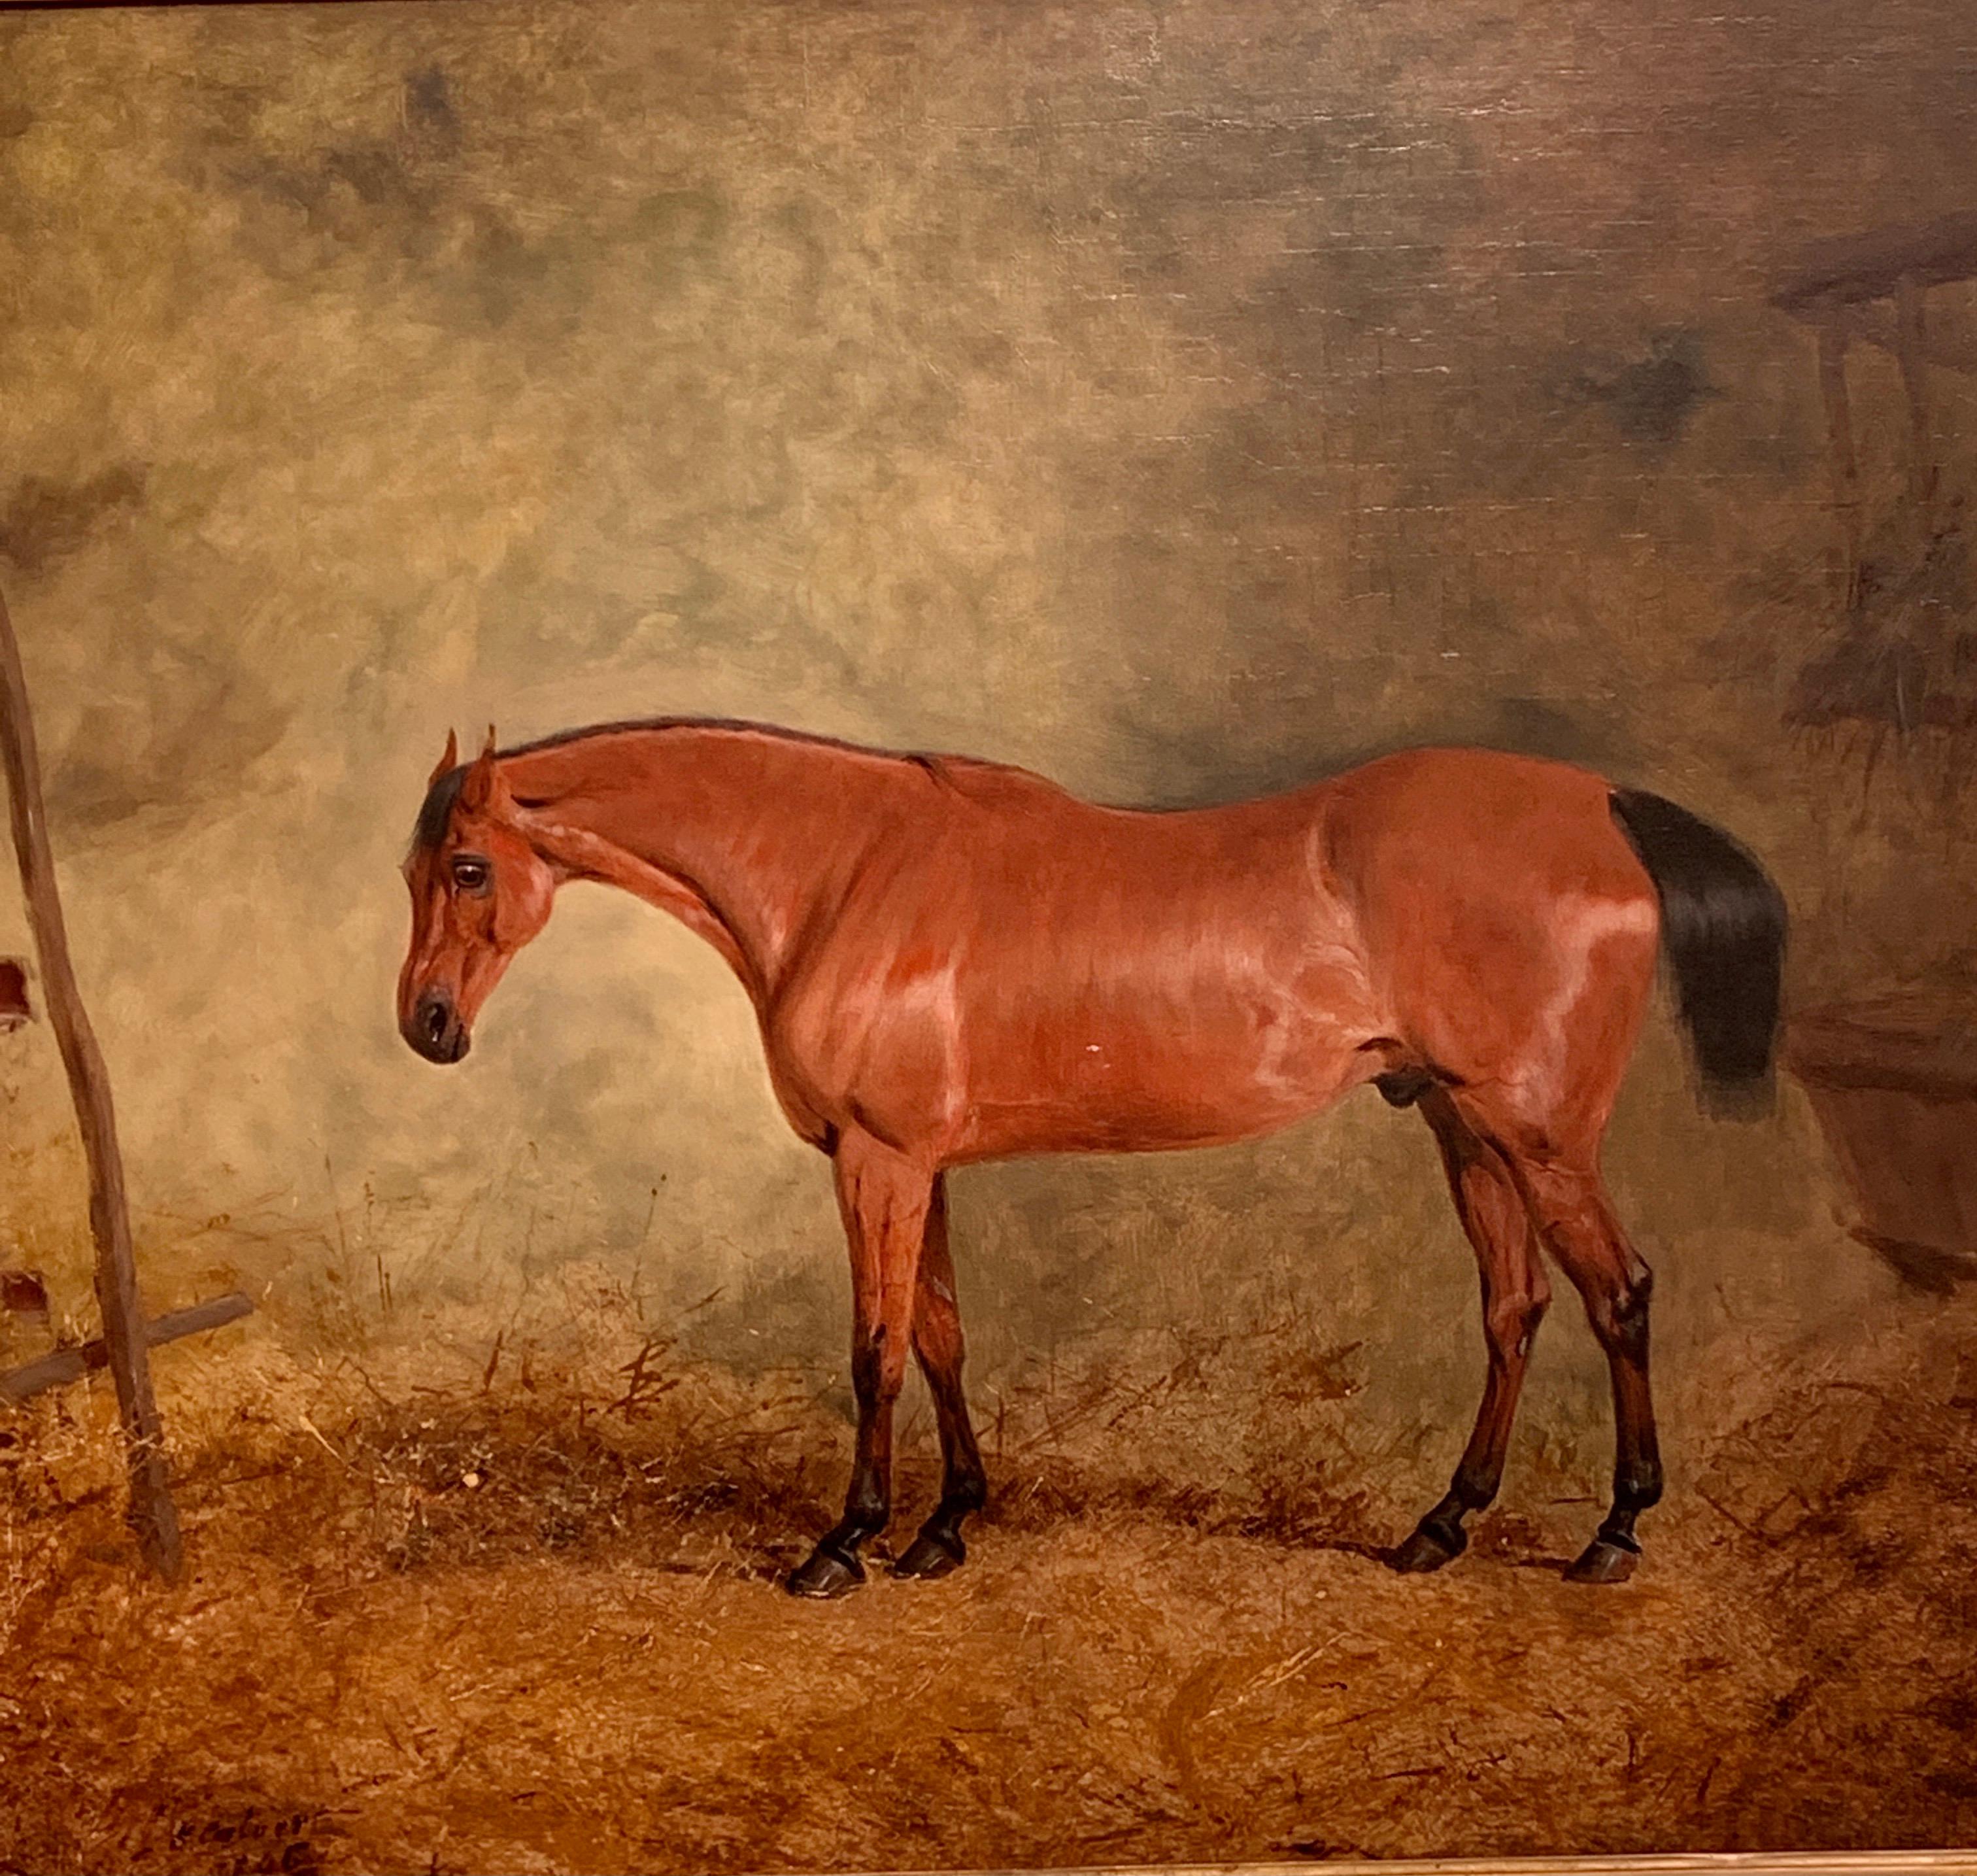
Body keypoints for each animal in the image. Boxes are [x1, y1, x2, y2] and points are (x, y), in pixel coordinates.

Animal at [393, 715, 1787, 1597]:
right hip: (1465, 1126)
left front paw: (842, 1543)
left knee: (1616, 1294)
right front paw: (945, 1526)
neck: (847, 871)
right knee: (1514, 1306)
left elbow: (873, 1348)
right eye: (414, 869)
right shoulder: (921, 1162)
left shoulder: (876, 1159)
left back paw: (1613, 1532)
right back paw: (1438, 1526)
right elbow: (942, 1336)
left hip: (1535, 1132)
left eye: (467, 867)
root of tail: (1599, 806)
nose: (427, 1025)